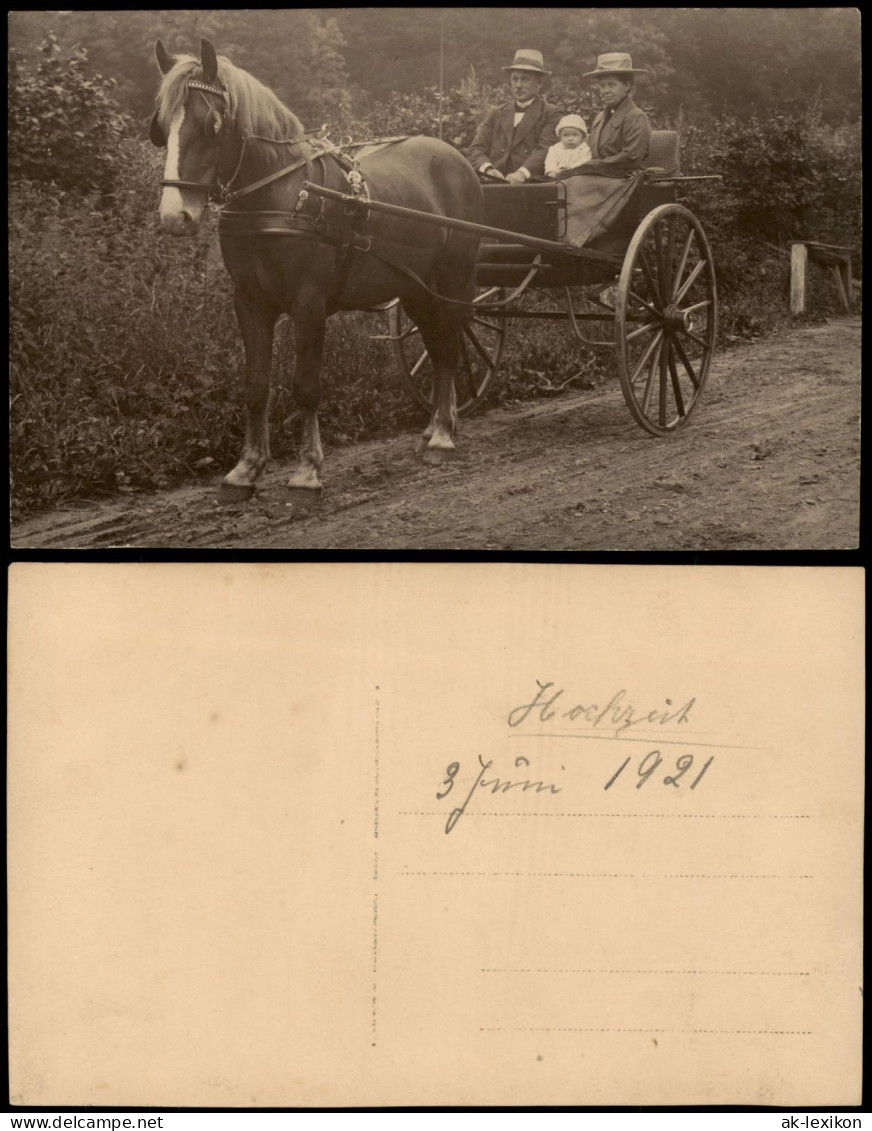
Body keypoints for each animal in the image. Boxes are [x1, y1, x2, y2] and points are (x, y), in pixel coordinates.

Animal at [153, 38, 488, 499]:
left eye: (211, 126)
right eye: (159, 128)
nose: (174, 216)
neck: (281, 194)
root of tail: (454, 156)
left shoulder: (309, 302)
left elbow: (305, 386)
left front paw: (307, 471)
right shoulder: (249, 303)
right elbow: (255, 386)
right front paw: (246, 469)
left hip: (452, 276)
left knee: (449, 347)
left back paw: (441, 434)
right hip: (416, 287)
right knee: (438, 346)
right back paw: (438, 426)